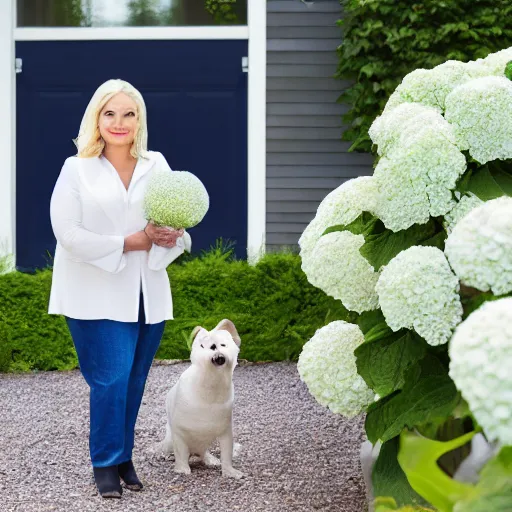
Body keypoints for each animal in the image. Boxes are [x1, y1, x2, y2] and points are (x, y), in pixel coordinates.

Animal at [161, 318, 243, 478]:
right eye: (202, 345)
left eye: (223, 344)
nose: (215, 349)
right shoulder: (179, 431)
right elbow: (180, 452)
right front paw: (182, 469)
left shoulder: (225, 430)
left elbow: (226, 452)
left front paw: (231, 472)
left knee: (203, 451)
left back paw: (210, 460)